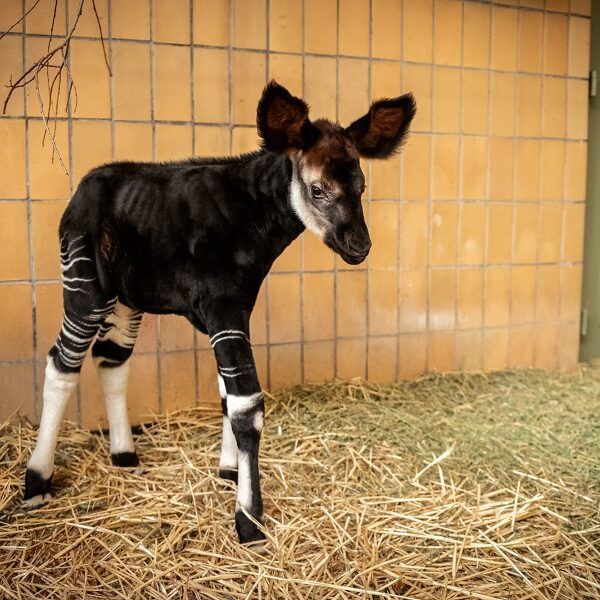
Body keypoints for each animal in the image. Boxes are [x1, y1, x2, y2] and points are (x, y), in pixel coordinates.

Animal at [24, 79, 418, 544]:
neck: (252, 218)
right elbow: (247, 404)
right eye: (318, 189)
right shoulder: (223, 306)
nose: (360, 246)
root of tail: (80, 189)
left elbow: (228, 396)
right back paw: (37, 483)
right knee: (61, 365)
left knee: (111, 360)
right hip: (85, 287)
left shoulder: (236, 308)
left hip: (125, 300)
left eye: (361, 187)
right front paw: (249, 518)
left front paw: (229, 472)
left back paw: (124, 456)